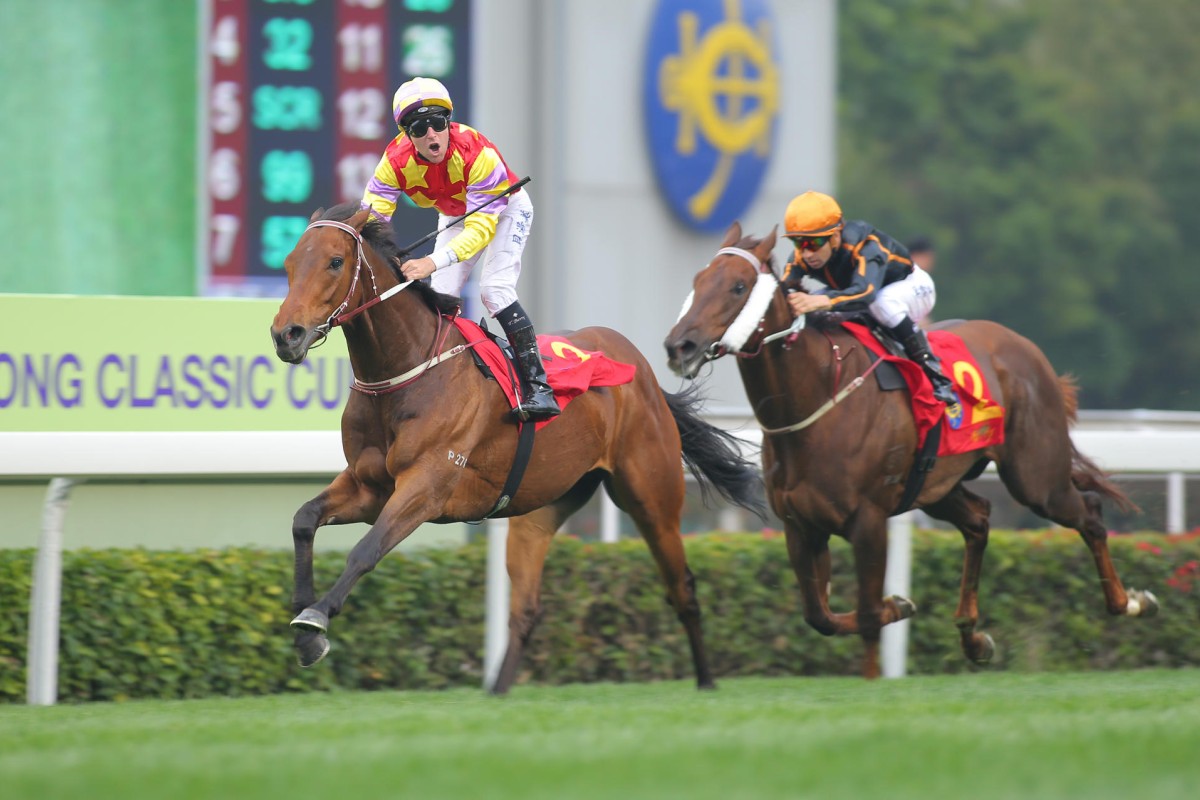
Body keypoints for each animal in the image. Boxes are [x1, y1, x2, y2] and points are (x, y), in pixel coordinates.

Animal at [270, 205, 758, 695]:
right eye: (289, 263)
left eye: (334, 262)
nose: (285, 334)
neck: (406, 371)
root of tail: (642, 372)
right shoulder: (368, 486)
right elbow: (303, 520)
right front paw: (302, 621)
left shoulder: (426, 486)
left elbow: (365, 550)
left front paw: (315, 620)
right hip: (539, 510)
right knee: (525, 610)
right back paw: (497, 692)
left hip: (652, 498)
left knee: (683, 587)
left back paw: (706, 681)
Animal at [662, 221, 1156, 681]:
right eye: (698, 279)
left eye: (738, 286)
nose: (678, 345)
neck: (818, 397)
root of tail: (1028, 349)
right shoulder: (801, 525)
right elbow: (820, 615)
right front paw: (898, 605)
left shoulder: (868, 521)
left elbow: (864, 614)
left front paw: (878, 656)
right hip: (938, 486)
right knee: (979, 521)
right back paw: (973, 636)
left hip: (1035, 477)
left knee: (1089, 512)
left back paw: (1131, 602)